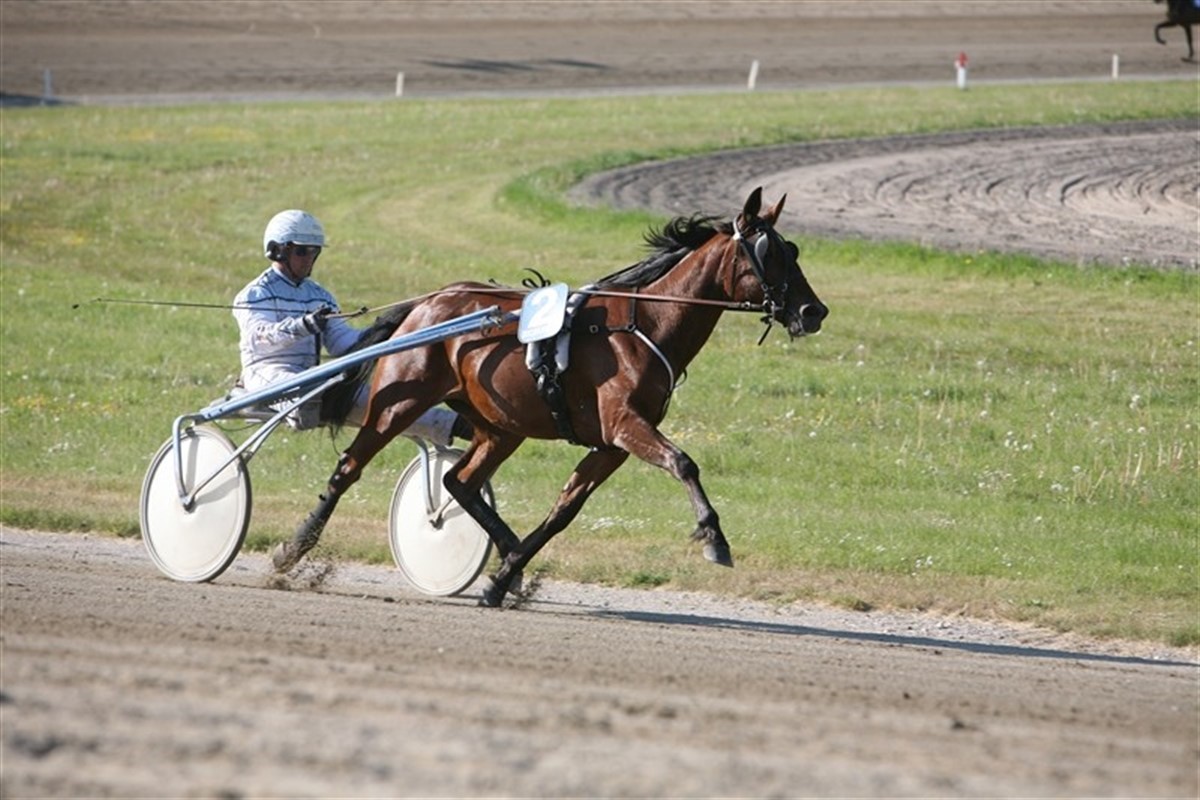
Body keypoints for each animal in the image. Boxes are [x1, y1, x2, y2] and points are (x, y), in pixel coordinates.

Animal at [277, 187, 828, 607]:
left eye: (795, 251)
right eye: (770, 255)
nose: (813, 311)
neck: (645, 323)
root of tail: (428, 302)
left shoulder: (609, 445)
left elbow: (564, 511)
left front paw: (502, 578)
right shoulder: (625, 424)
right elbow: (684, 463)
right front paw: (715, 538)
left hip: (501, 426)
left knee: (459, 481)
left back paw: (504, 549)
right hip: (399, 402)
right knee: (348, 468)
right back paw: (293, 548)